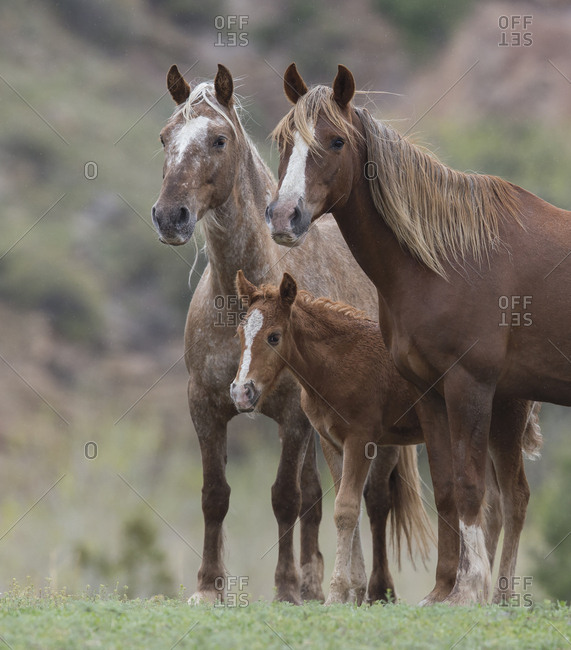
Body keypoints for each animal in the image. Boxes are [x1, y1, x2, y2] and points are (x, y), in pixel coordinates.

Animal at [151, 63, 430, 604]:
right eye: (165, 137)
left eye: (218, 139)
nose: (170, 216)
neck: (241, 299)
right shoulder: (205, 406)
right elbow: (216, 495)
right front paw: (209, 587)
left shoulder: (293, 416)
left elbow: (285, 497)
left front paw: (284, 588)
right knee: (321, 497)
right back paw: (318, 582)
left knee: (375, 498)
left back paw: (375, 589)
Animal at [231, 270, 541, 605]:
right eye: (239, 333)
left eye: (274, 336)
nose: (241, 392)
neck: (338, 362)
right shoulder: (331, 442)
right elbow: (348, 509)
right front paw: (354, 591)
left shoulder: (360, 439)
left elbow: (346, 509)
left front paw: (337, 593)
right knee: (494, 503)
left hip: (505, 429)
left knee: (515, 497)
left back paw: (501, 596)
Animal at [264, 63, 554, 605]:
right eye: (282, 141)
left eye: (336, 141)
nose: (283, 215)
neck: (446, 259)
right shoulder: (425, 397)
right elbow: (444, 491)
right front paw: (440, 589)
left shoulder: (464, 388)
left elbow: (461, 491)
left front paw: (463, 591)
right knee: (506, 498)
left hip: (502, 413)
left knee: (510, 498)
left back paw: (499, 594)